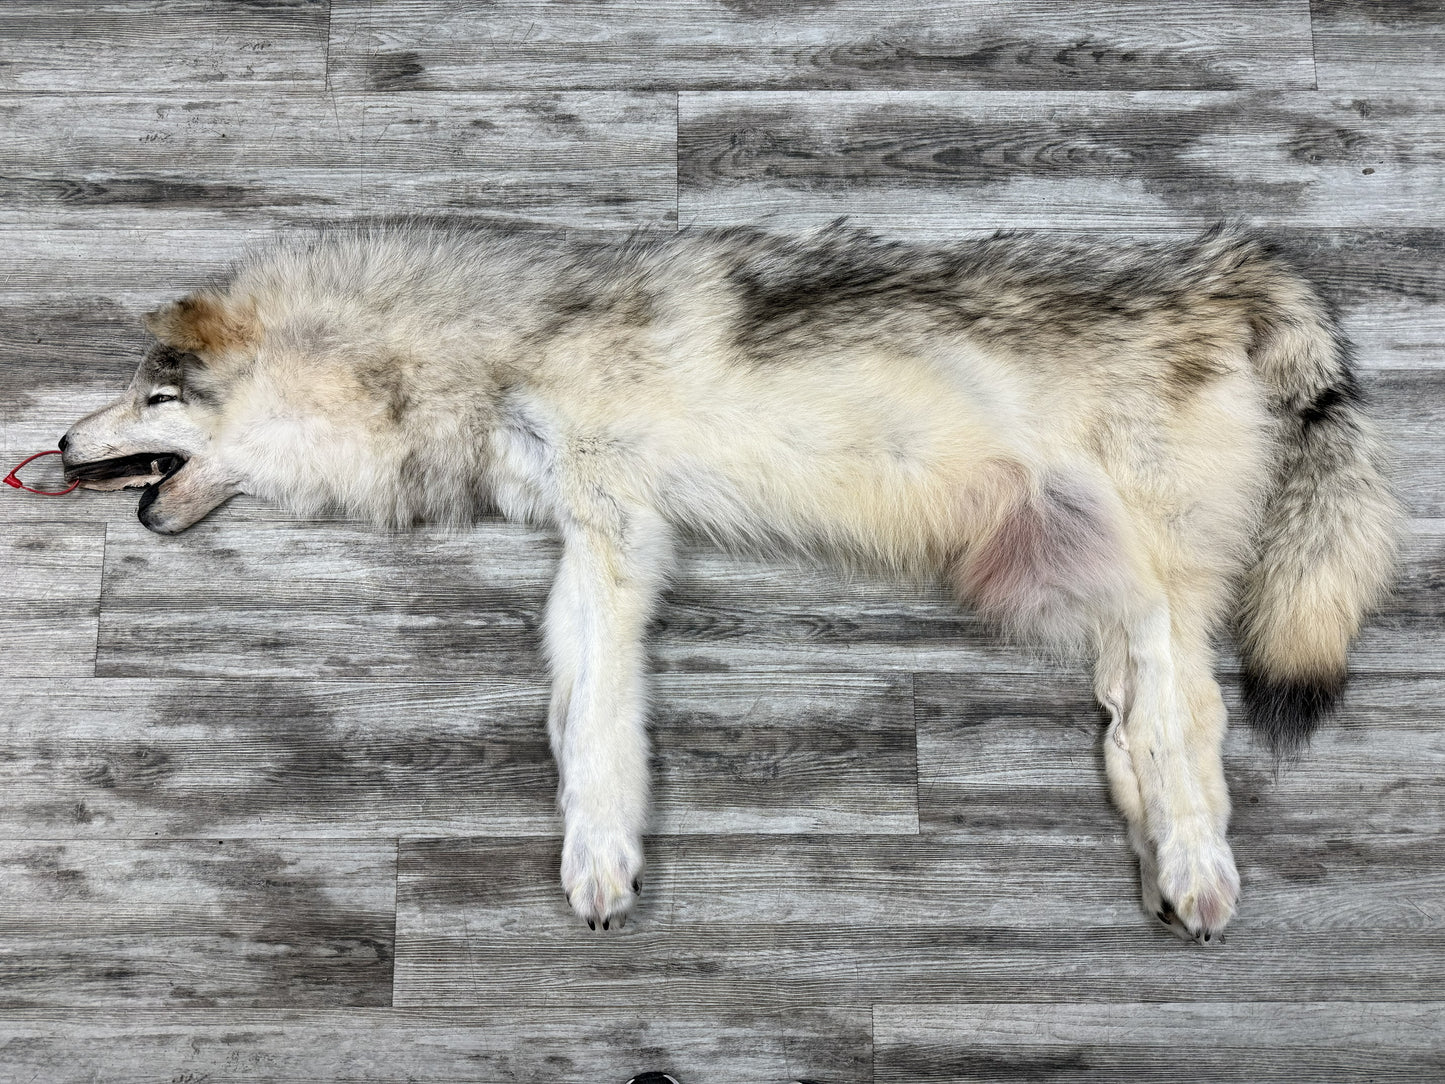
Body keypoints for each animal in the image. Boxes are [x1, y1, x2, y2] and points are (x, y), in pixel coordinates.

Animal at [60, 223, 1400, 941]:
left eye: (150, 392)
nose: (61, 445)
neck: (485, 359)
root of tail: (1225, 274)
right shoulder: (595, 548)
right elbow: (579, 720)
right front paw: (594, 850)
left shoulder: (615, 541)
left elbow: (600, 732)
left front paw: (600, 862)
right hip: (1098, 583)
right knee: (1137, 723)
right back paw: (1149, 848)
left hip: (1159, 582)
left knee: (1191, 727)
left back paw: (1193, 870)